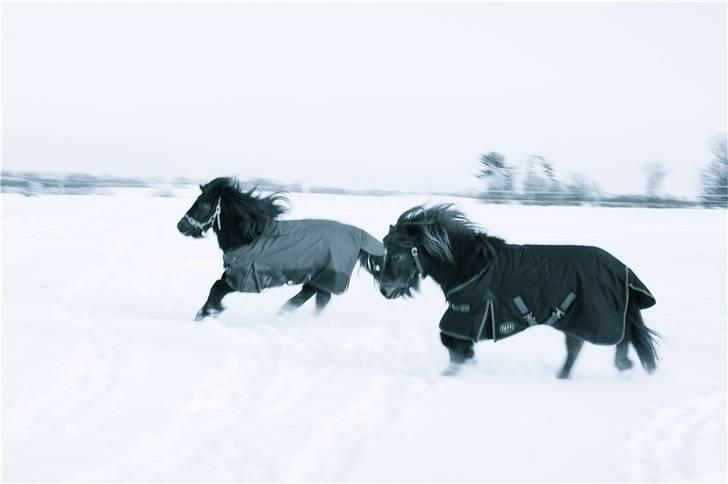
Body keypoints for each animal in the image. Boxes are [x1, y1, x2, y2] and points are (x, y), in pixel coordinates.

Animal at [177, 178, 384, 322]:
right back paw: (283, 313)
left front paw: (207, 312)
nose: (181, 225)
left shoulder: (241, 277)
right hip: (317, 277)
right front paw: (207, 312)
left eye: (203, 204)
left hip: (327, 275)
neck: (248, 238)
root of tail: (359, 235)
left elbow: (216, 287)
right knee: (311, 295)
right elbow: (216, 287)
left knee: (320, 298)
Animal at [382, 204, 660, 378]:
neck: (470, 265)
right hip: (576, 318)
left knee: (601, 342)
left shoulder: (468, 314)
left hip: (586, 317)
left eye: (396, 256)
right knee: (594, 343)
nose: (385, 289)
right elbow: (452, 343)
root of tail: (620, 268)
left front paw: (454, 370)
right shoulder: (466, 316)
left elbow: (452, 343)